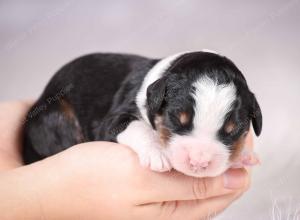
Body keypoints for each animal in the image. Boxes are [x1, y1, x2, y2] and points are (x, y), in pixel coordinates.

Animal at [22, 51, 262, 177]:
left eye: (233, 131)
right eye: (176, 119)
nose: (199, 163)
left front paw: (243, 156)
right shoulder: (112, 121)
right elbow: (136, 127)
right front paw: (157, 153)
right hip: (56, 118)